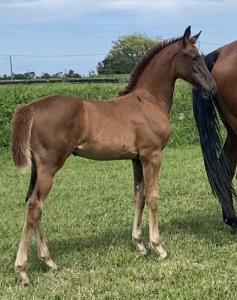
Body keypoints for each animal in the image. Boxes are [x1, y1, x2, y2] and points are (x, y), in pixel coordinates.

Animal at [11, 26, 216, 286]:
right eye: (194, 57)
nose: (213, 87)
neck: (148, 101)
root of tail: (33, 107)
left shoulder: (136, 158)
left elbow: (139, 196)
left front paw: (140, 245)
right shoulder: (152, 155)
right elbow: (153, 197)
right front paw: (158, 248)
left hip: (38, 169)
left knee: (32, 203)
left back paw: (48, 262)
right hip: (50, 166)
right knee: (35, 205)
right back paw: (23, 270)